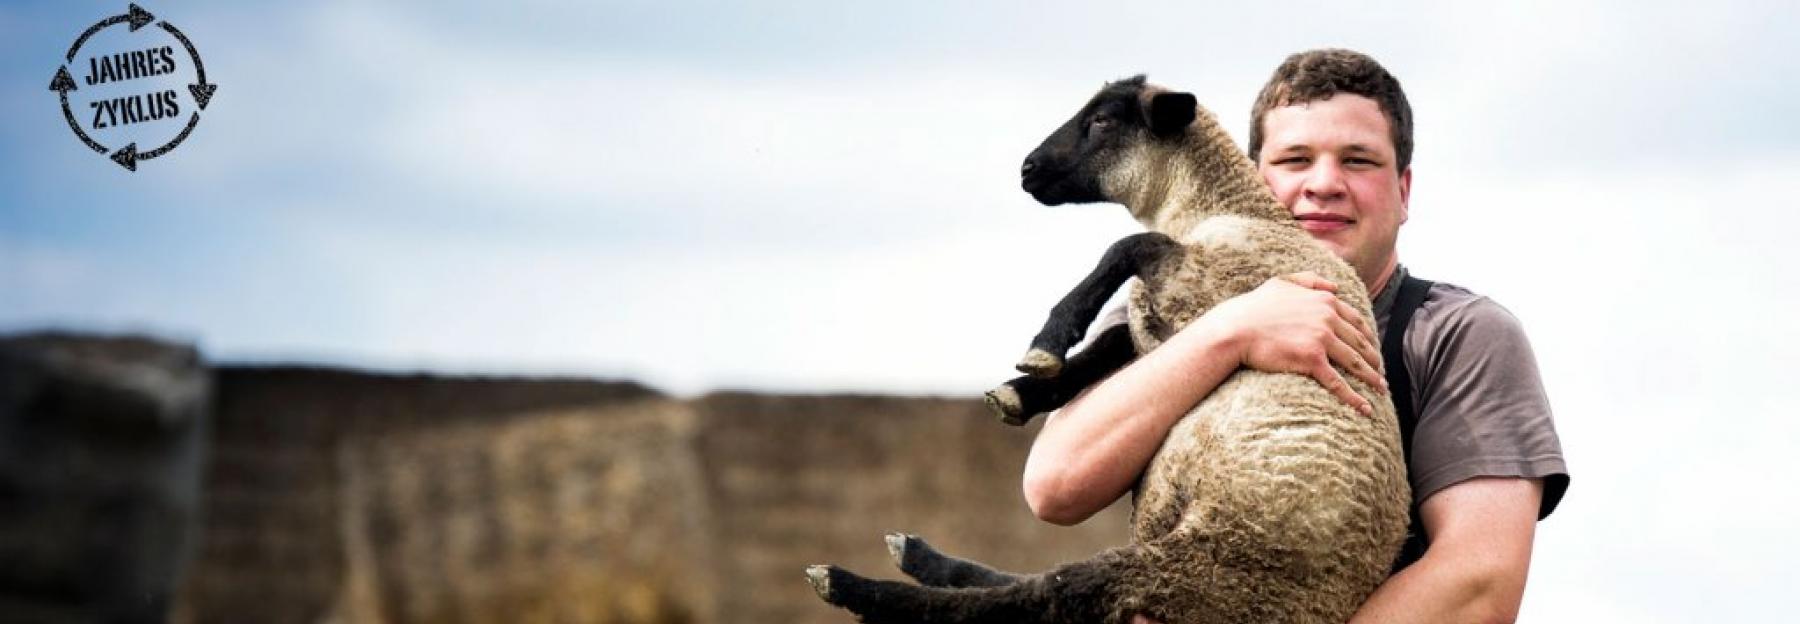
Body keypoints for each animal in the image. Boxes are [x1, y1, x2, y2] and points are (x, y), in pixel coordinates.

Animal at [810, 76, 1411, 624]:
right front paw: (1021, 392)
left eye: (1102, 120)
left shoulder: (1210, 286)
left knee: (1046, 594)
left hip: (1201, 569)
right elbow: (1111, 340)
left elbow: (1126, 247)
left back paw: (852, 584)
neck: (1234, 210)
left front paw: (1044, 344)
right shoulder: (1174, 322)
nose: (1026, 170)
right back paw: (911, 555)